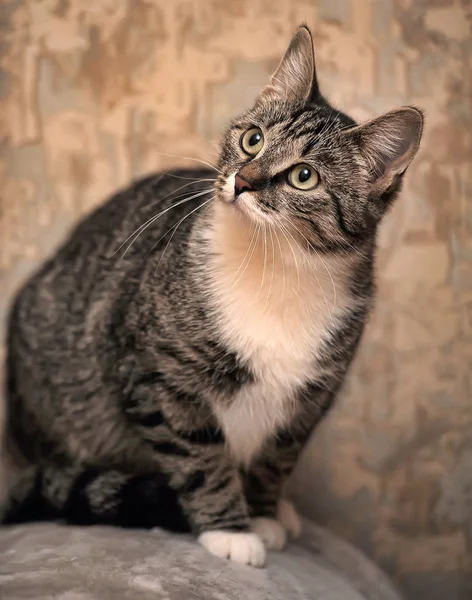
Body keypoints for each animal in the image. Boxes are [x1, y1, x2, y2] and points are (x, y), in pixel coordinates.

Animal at [0, 24, 424, 568]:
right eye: (252, 139)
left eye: (304, 175)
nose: (243, 181)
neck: (274, 267)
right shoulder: (156, 373)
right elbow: (196, 452)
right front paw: (229, 529)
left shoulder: (312, 398)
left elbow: (275, 458)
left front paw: (262, 513)